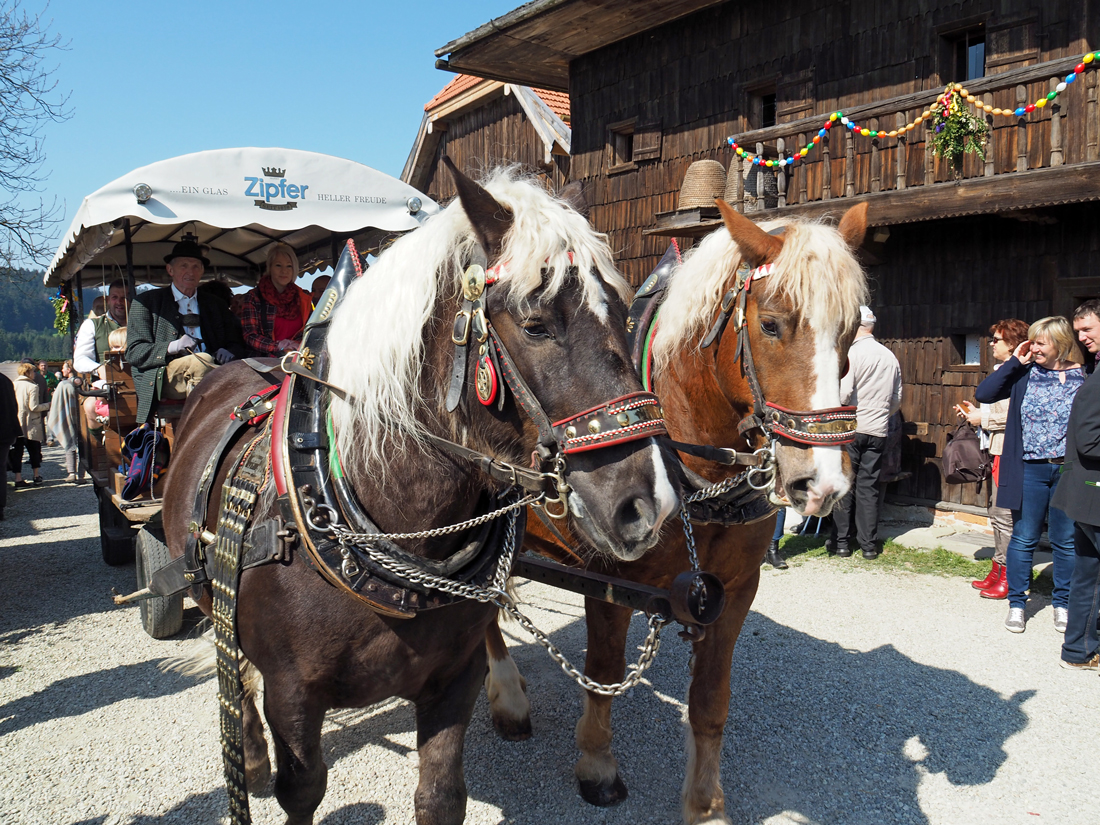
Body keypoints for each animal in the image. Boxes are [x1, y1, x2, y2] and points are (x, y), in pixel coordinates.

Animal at [162, 166, 677, 825]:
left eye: (624, 315)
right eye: (536, 324)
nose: (648, 505)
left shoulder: (453, 680)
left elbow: (440, 797)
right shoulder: (292, 698)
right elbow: (300, 788)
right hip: (208, 590)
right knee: (231, 656)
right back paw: (248, 753)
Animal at [481, 200, 866, 825]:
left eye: (853, 331)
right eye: (771, 324)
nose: (824, 482)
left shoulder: (733, 591)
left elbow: (710, 701)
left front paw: (705, 804)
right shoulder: (609, 579)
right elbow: (604, 672)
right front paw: (597, 764)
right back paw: (509, 699)